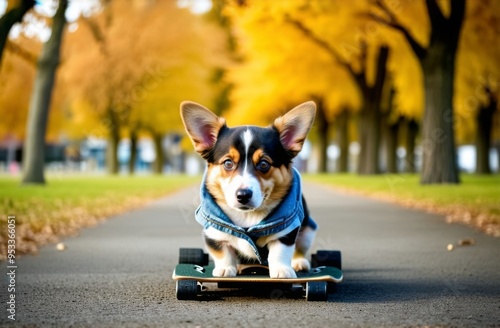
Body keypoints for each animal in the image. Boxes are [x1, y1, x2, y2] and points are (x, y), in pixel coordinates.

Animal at [181, 101, 316, 278]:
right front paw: (225, 269)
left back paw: (299, 262)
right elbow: (222, 251)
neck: (248, 216)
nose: (243, 195)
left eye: (264, 164)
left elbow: (280, 251)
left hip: (308, 232)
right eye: (228, 163)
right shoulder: (214, 231)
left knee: (300, 249)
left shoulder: (286, 230)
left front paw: (282, 270)